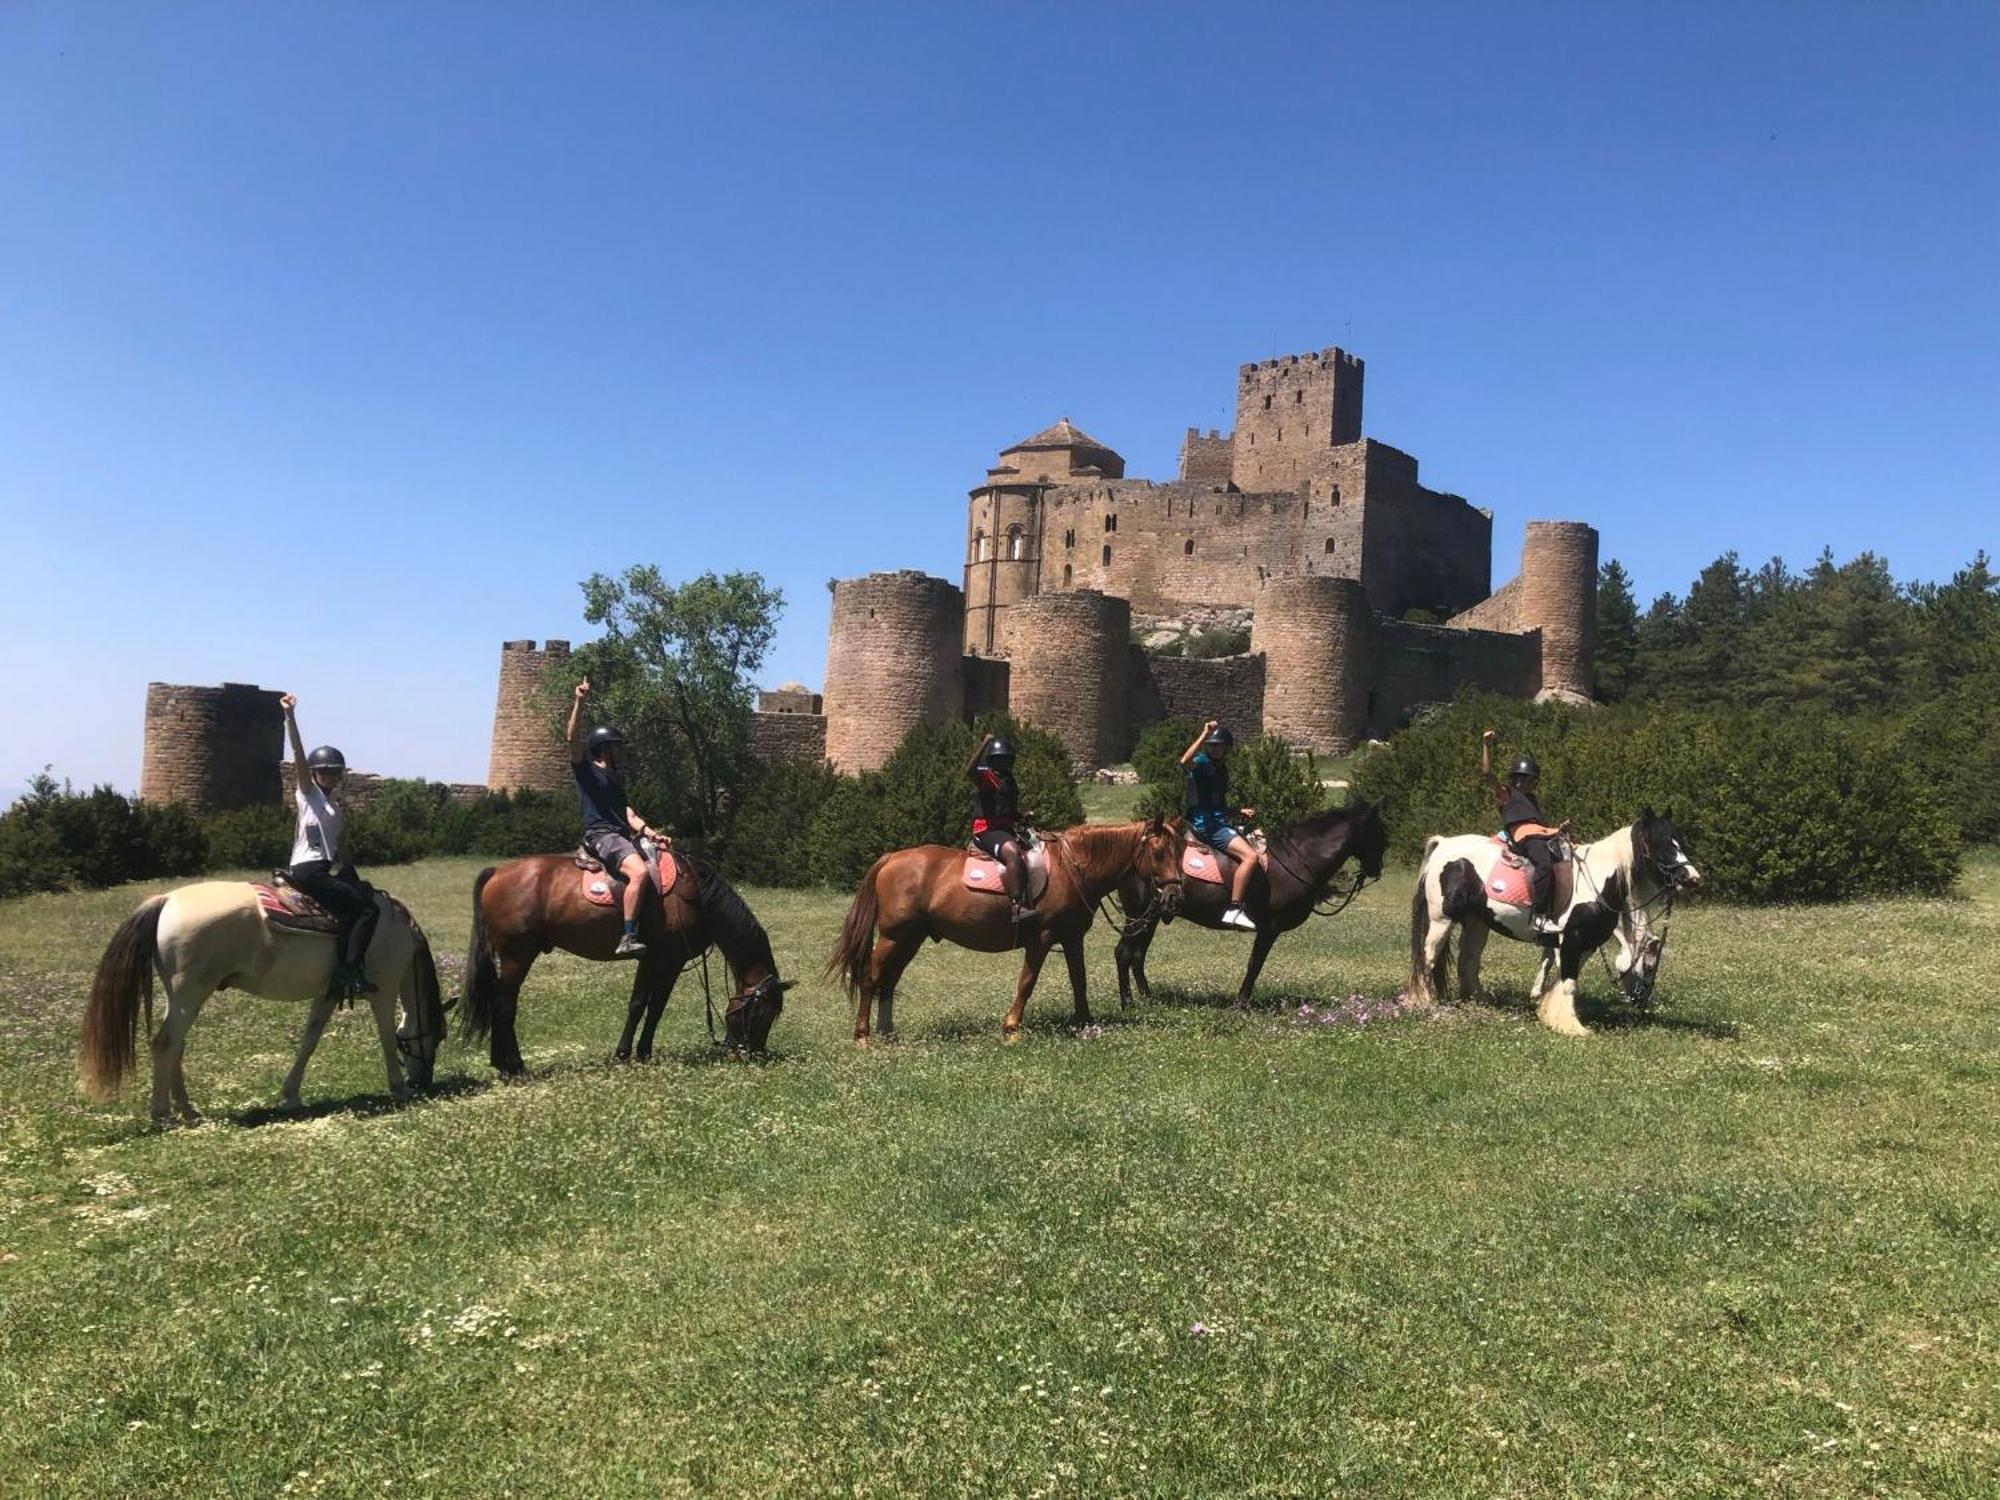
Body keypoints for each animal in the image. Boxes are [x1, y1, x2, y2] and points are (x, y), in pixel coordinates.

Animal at [81, 880, 446, 1128]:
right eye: (438, 1037)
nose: (423, 1082)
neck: (395, 927)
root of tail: (167, 899)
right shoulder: (384, 990)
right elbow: (386, 1037)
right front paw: (399, 1088)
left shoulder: (327, 994)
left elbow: (309, 1041)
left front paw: (290, 1095)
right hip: (190, 993)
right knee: (165, 1044)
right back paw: (163, 1114)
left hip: (182, 996)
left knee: (176, 1047)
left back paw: (188, 1109)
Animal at [460, 852, 788, 1072]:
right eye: (762, 1012)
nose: (755, 1053)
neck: (694, 896)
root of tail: (497, 871)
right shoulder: (653, 958)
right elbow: (638, 1004)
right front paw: (622, 1055)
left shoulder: (672, 962)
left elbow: (656, 1008)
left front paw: (644, 1053)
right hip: (517, 955)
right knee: (504, 1005)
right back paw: (515, 1066)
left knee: (497, 1001)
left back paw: (500, 1063)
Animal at [828, 824, 1184, 1048]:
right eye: (1158, 852)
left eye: (1178, 850)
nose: (1173, 897)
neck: (1071, 868)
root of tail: (891, 858)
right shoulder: (1042, 939)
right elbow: (1027, 982)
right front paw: (1011, 1028)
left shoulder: (1072, 938)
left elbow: (1079, 981)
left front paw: (1086, 1024)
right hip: (893, 938)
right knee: (870, 978)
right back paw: (863, 1036)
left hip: (910, 940)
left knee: (888, 982)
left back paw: (887, 1034)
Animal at [1120, 800, 1384, 1012]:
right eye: (1379, 830)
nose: (1377, 869)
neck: (1295, 859)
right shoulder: (1269, 928)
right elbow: (1255, 964)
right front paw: (1241, 1003)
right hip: (1138, 915)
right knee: (1124, 953)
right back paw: (1129, 1003)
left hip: (1150, 918)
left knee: (1137, 956)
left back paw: (1148, 998)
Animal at [1408, 804, 1704, 1040]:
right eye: (1661, 842)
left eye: (1681, 840)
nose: (1691, 877)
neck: (1596, 880)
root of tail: (1443, 844)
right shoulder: (1572, 939)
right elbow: (1569, 981)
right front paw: (1571, 1026)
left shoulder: (1584, 943)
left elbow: (1562, 978)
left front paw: (1548, 1010)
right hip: (1441, 919)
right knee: (1428, 956)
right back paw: (1425, 1004)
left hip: (1476, 922)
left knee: (1468, 961)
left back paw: (1479, 1002)